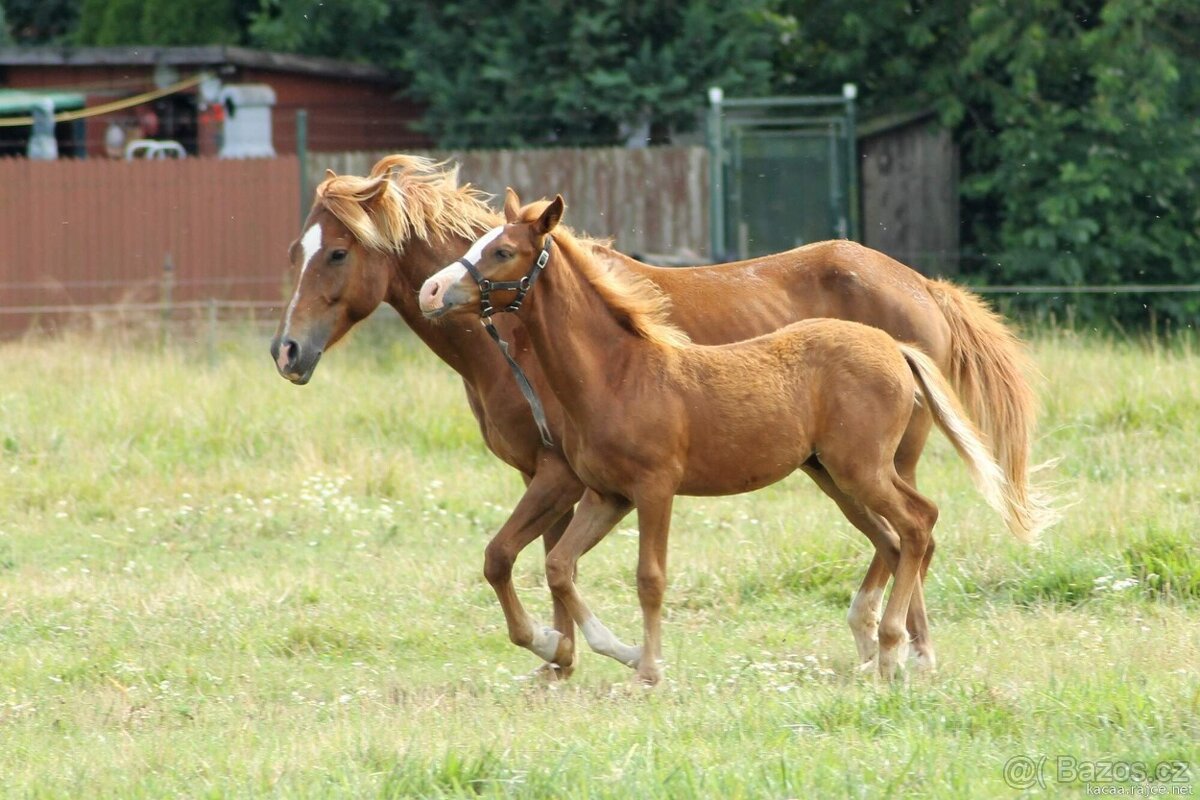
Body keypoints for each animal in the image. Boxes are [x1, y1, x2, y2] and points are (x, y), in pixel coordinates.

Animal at [270, 155, 1051, 676]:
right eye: (296, 250)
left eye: (336, 253)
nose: (287, 351)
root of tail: (922, 287)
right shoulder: (566, 477)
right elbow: (548, 562)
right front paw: (565, 658)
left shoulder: (560, 473)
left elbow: (510, 559)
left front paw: (568, 653)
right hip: (830, 469)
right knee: (896, 539)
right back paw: (876, 645)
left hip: (874, 463)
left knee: (914, 531)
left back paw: (905, 652)